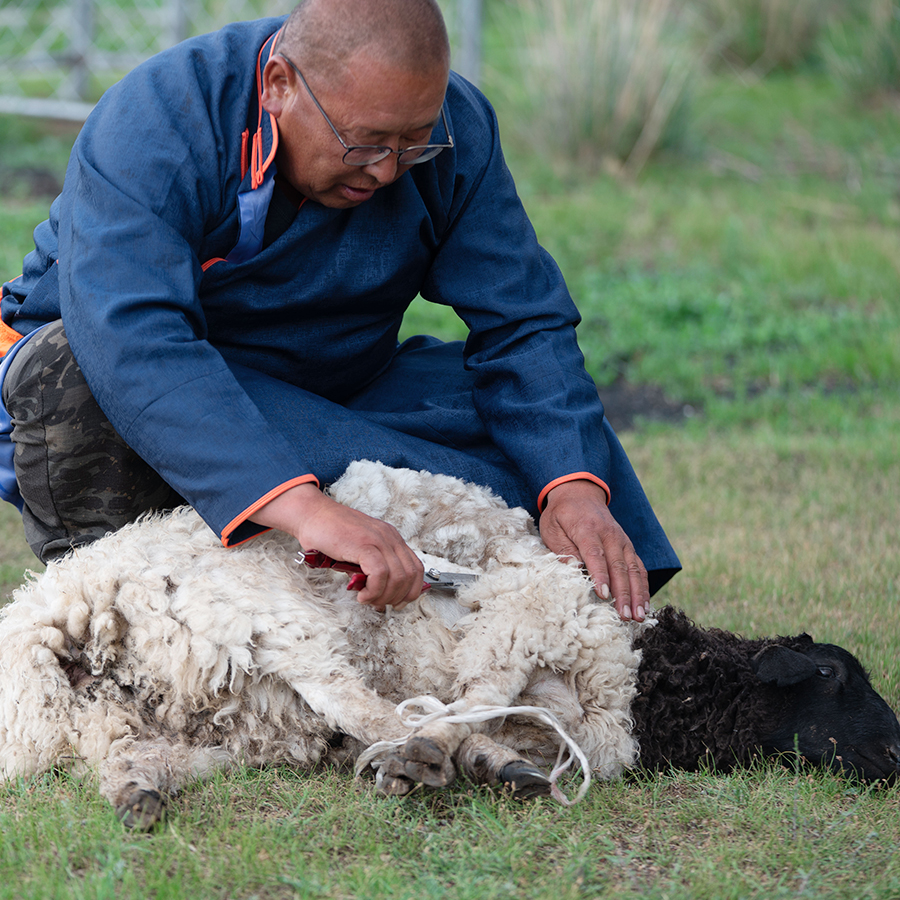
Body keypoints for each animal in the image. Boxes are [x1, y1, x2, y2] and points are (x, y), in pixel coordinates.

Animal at [0, 461, 897, 830]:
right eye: (834, 675)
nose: (896, 755)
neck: (652, 675)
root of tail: (68, 609)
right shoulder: (529, 618)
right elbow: (480, 699)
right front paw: (453, 753)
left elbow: (492, 715)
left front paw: (490, 759)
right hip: (261, 619)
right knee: (358, 702)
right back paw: (430, 757)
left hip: (156, 719)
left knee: (136, 760)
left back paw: (139, 796)